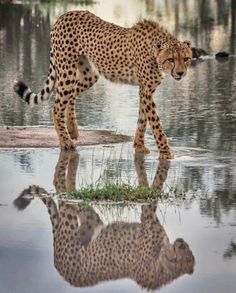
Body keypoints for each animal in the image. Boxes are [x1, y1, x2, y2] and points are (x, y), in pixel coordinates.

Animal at [13, 10, 192, 157]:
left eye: (186, 59)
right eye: (171, 59)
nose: (180, 73)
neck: (155, 53)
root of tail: (65, 14)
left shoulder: (145, 89)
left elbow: (143, 119)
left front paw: (139, 145)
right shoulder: (146, 90)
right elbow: (155, 122)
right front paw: (167, 153)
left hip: (89, 75)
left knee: (70, 96)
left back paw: (72, 129)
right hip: (67, 70)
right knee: (57, 107)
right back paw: (66, 141)